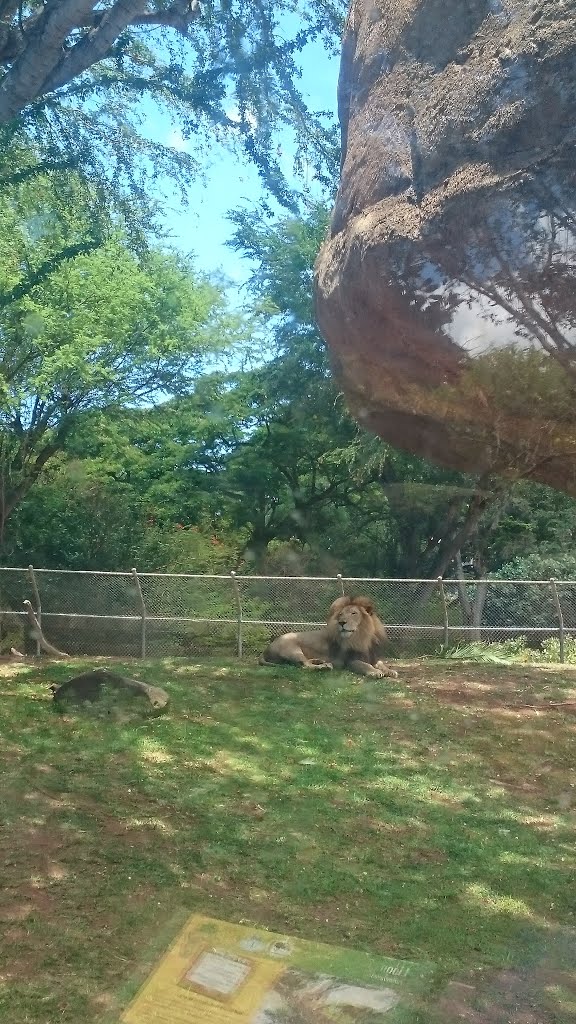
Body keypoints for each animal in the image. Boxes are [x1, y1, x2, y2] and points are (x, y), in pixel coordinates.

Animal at [258, 598, 397, 675]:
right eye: (341, 614)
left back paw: (319, 661)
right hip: (292, 648)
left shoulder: (373, 656)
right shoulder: (349, 660)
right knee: (304, 666)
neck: (363, 636)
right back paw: (324, 666)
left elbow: (380, 663)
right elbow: (364, 665)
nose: (342, 622)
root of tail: (265, 650)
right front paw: (375, 672)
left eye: (353, 613)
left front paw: (389, 670)